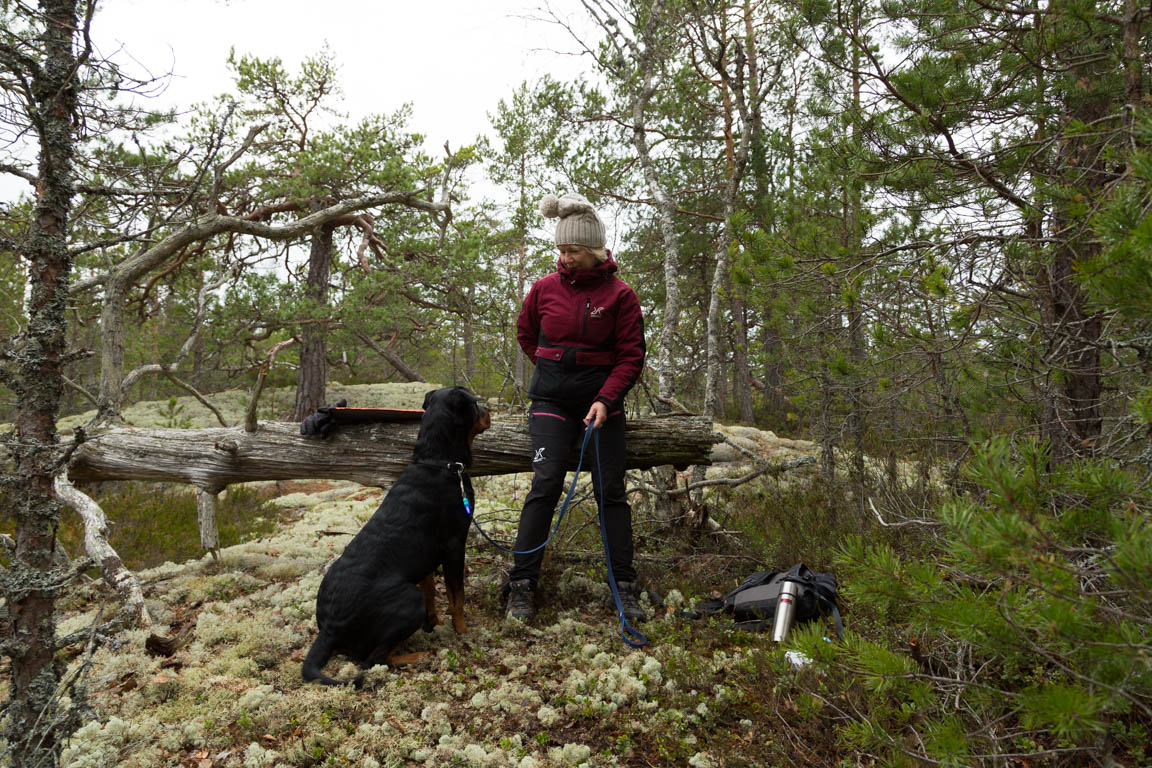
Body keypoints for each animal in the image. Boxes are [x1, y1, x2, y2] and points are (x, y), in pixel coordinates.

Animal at [301, 386, 490, 686]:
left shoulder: (426, 557)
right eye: (475, 405)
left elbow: (430, 591)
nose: (490, 411)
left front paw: (434, 624)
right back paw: (418, 657)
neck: (440, 462)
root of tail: (328, 630)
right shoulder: (454, 545)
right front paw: (462, 631)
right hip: (408, 599)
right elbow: (456, 597)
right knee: (374, 660)